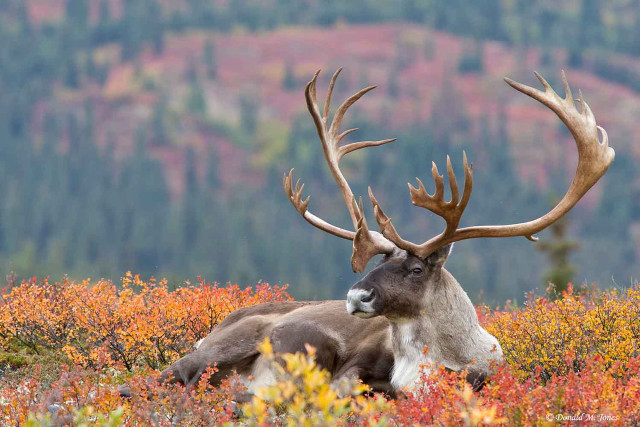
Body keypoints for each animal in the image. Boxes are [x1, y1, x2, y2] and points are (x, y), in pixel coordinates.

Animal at [119, 69, 614, 398]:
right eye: (378, 261)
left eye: (415, 269)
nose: (357, 295)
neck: (440, 358)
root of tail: (215, 326)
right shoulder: (351, 371)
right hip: (226, 349)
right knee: (146, 384)